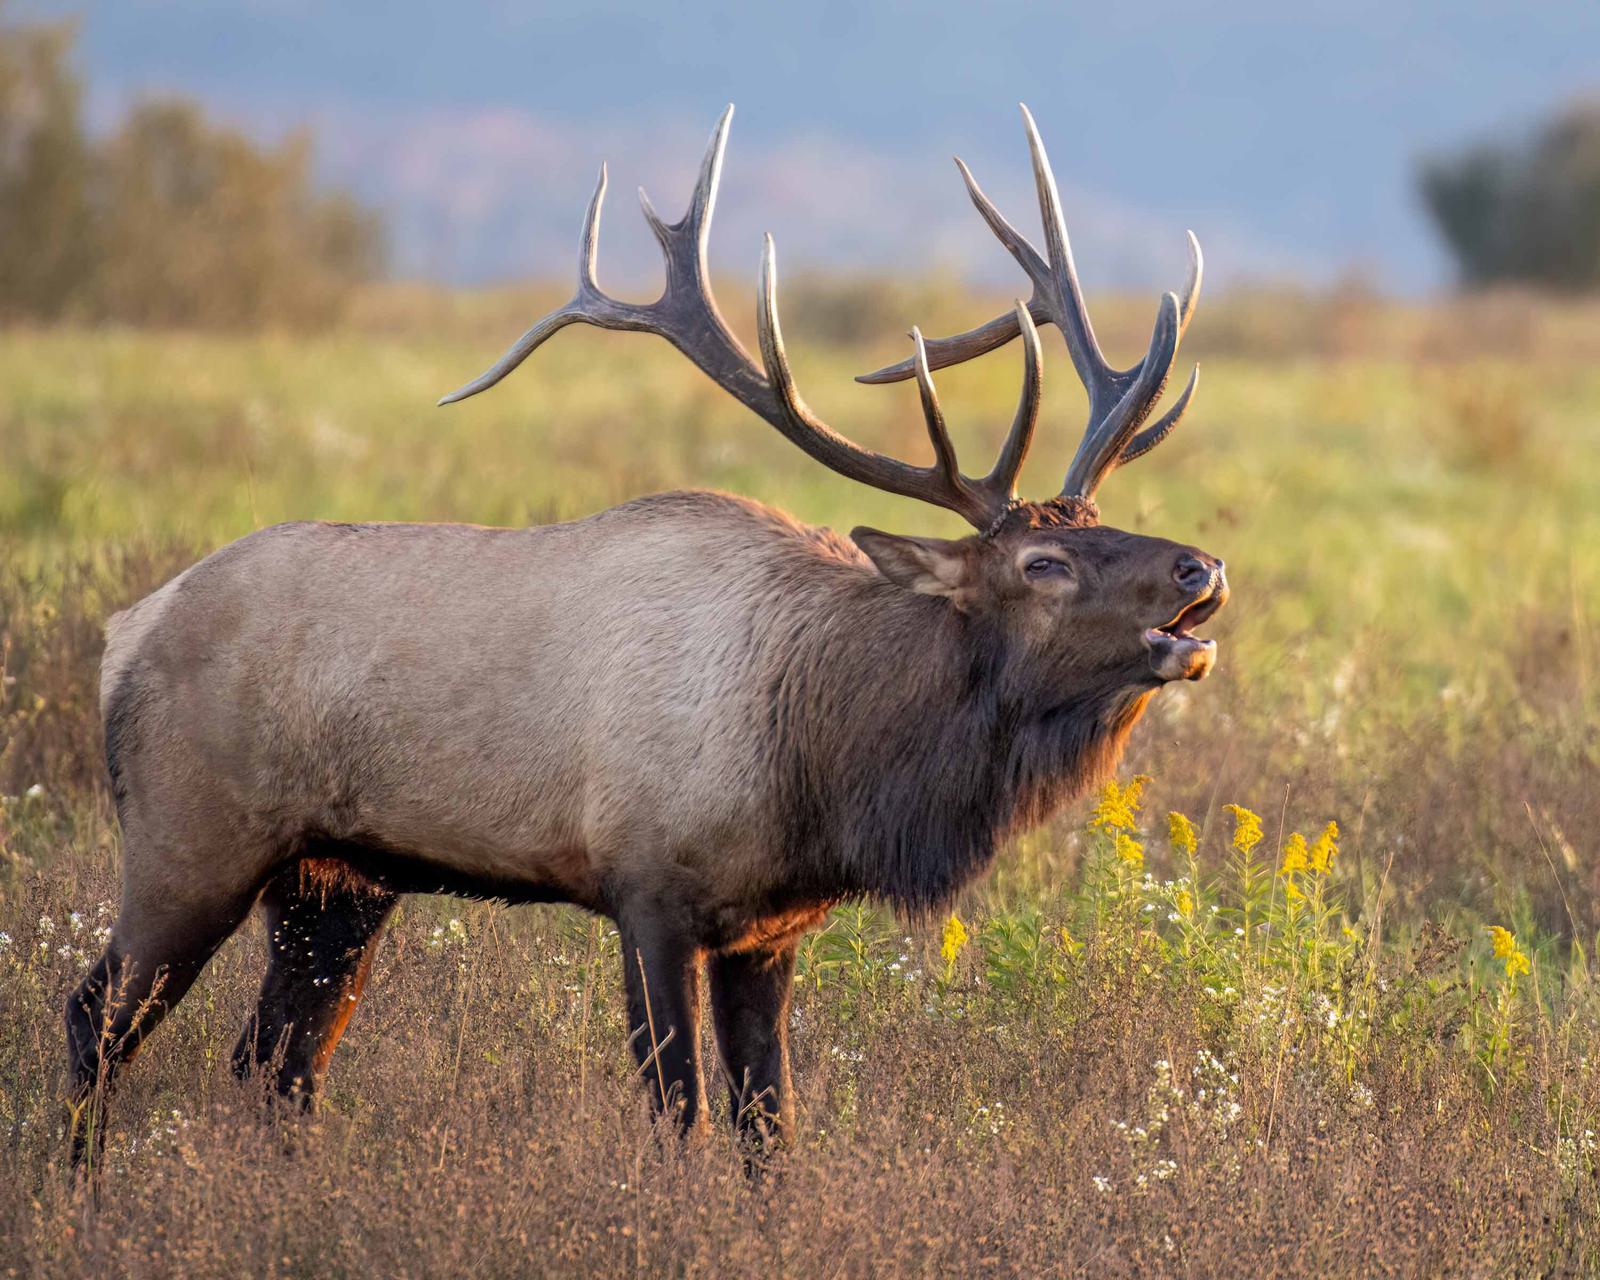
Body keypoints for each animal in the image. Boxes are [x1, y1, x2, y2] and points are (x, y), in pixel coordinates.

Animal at [67, 104, 1227, 1163]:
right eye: (1042, 564)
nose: (1201, 570)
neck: (823, 756)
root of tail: (126, 631)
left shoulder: (772, 928)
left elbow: (771, 1124)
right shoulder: (647, 884)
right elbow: (682, 1112)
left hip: (337, 880)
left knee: (277, 1059)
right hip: (191, 833)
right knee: (98, 1016)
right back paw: (79, 1191)